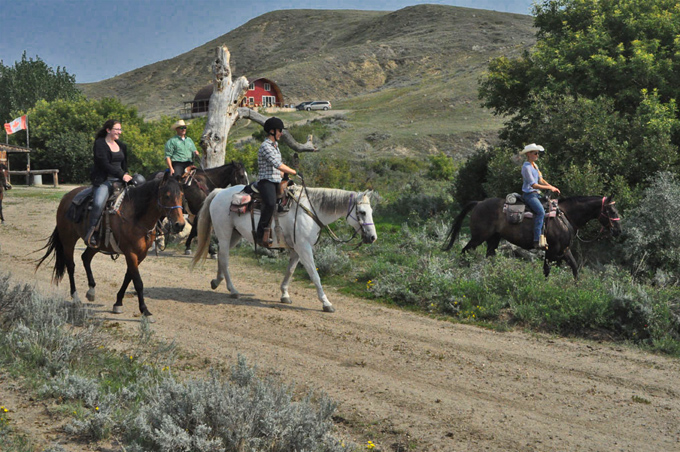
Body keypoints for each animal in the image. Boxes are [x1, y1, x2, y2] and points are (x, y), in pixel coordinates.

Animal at [35, 171, 185, 320]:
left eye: (182, 195)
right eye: (167, 195)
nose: (180, 224)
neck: (135, 215)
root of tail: (66, 197)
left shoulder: (141, 254)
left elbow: (128, 277)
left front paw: (118, 303)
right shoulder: (130, 253)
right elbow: (138, 282)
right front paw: (145, 310)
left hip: (96, 244)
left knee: (86, 258)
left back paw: (91, 290)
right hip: (68, 240)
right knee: (71, 266)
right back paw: (76, 298)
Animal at [191, 185, 378, 312]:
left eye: (371, 211)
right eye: (362, 212)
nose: (372, 237)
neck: (311, 211)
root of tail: (219, 192)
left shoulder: (297, 249)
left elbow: (290, 271)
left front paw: (285, 295)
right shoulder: (304, 248)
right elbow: (315, 275)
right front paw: (326, 303)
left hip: (234, 236)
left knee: (222, 256)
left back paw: (217, 281)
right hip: (224, 233)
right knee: (224, 259)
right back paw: (233, 290)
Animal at [440, 195, 620, 278]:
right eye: (611, 211)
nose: (618, 230)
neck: (564, 217)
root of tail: (478, 203)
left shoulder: (564, 250)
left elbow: (575, 268)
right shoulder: (551, 250)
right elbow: (546, 270)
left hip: (494, 239)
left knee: (489, 256)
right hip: (479, 237)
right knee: (465, 251)